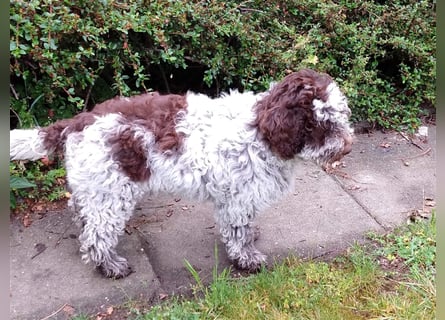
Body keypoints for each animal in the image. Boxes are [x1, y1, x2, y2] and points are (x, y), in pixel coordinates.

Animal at [8, 69, 352, 278]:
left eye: (340, 117)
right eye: (322, 123)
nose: (348, 146)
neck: (261, 130)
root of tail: (77, 122)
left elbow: (244, 226)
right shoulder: (238, 197)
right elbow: (238, 231)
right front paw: (247, 259)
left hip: (95, 187)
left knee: (83, 216)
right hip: (111, 192)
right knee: (96, 235)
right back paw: (110, 266)